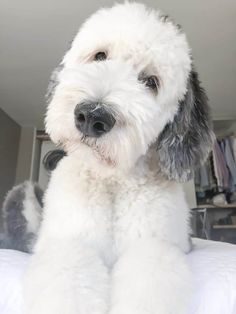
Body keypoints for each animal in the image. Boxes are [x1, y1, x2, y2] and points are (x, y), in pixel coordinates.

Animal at [24, 3, 214, 314]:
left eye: (150, 82)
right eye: (100, 56)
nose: (92, 116)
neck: (111, 181)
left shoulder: (154, 249)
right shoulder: (70, 243)